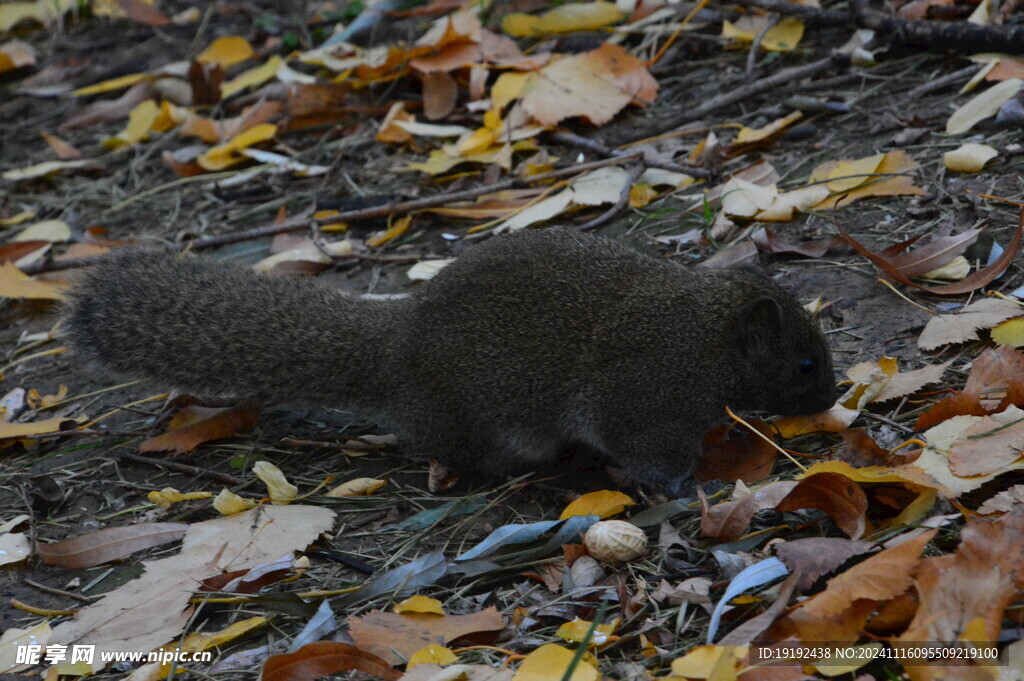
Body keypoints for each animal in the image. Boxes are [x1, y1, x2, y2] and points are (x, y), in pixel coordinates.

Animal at [59, 228, 835, 493]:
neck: (704, 333)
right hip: (477, 422)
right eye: (803, 365)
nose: (831, 398)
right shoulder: (645, 396)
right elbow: (649, 451)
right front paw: (685, 484)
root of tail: (400, 345)